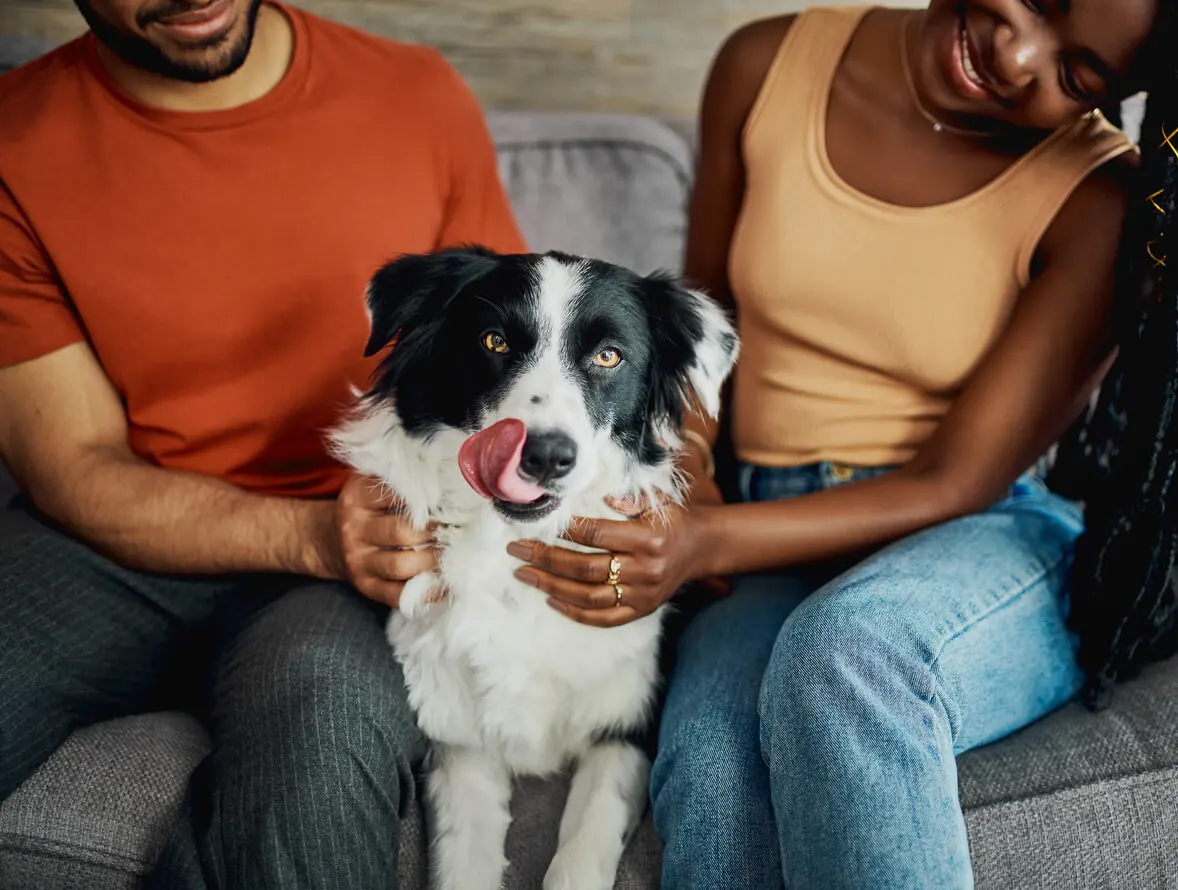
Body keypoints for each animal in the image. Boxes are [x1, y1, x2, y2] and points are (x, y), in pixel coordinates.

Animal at [332, 244, 735, 890]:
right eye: (494, 342)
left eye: (608, 355)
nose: (545, 455)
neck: (511, 550)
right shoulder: (458, 745)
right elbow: (464, 867)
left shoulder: (625, 729)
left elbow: (579, 856)